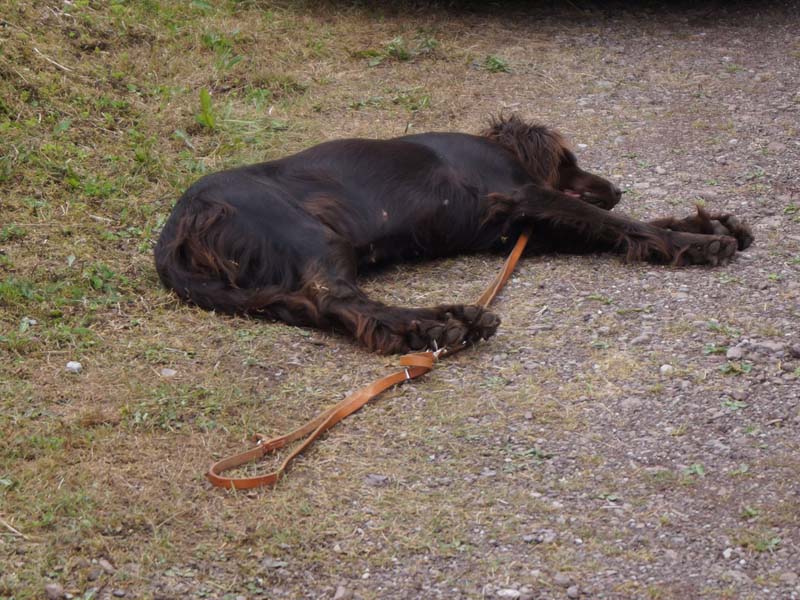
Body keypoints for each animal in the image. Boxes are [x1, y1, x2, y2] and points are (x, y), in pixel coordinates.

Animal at [155, 115, 753, 354]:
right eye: (570, 160)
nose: (617, 188)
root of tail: (177, 228)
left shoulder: (527, 228)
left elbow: (627, 227)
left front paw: (708, 224)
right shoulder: (524, 196)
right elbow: (617, 224)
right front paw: (702, 242)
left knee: (322, 308)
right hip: (308, 236)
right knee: (343, 301)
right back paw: (443, 325)